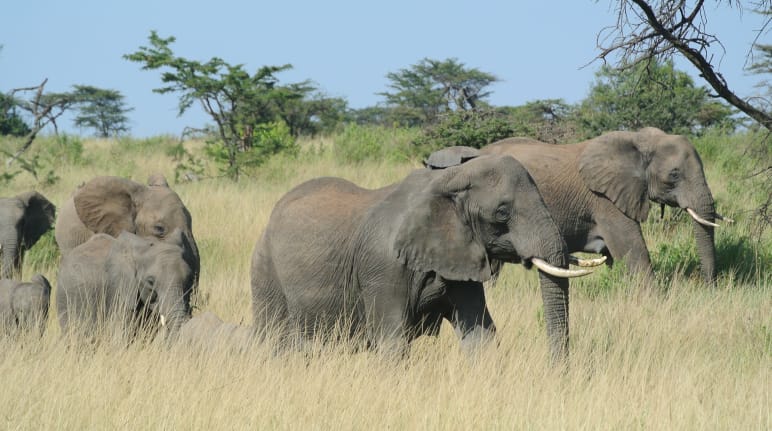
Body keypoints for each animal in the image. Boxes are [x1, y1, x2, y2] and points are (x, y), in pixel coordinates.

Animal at [250, 154, 596, 360]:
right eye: (502, 212)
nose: (557, 372)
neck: (450, 179)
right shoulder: (383, 267)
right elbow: (392, 342)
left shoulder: (459, 256)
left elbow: (480, 336)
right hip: (265, 272)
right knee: (275, 338)